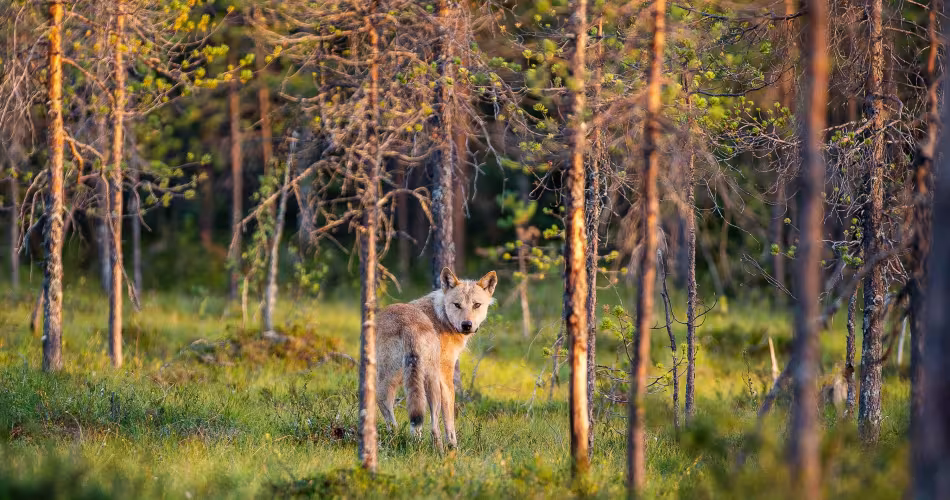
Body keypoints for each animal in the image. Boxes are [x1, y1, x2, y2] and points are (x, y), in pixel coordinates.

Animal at [376, 268, 498, 450]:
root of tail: (408, 324)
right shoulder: (446, 377)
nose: (467, 325)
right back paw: (438, 450)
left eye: (476, 305)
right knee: (430, 424)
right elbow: (449, 420)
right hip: (427, 380)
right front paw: (454, 447)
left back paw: (406, 443)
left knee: (399, 411)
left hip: (397, 379)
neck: (442, 317)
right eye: (457, 305)